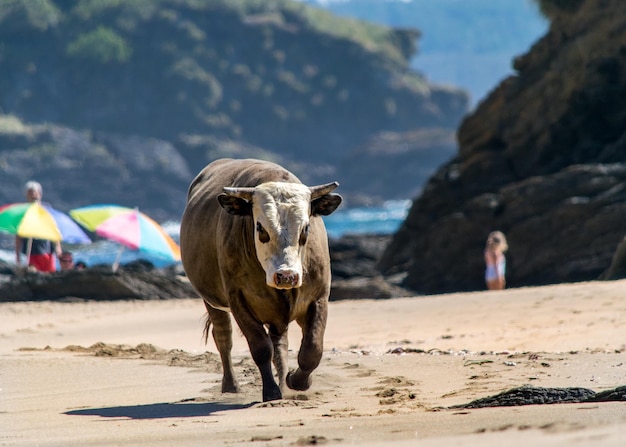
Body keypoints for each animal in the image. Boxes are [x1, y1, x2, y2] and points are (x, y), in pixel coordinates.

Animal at [179, 160, 342, 402]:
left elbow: (312, 348)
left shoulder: (319, 296)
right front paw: (272, 392)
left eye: (305, 228)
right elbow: (260, 348)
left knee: (280, 343)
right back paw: (231, 385)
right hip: (212, 301)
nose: (287, 275)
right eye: (260, 227)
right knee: (224, 337)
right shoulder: (238, 299)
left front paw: (297, 381)